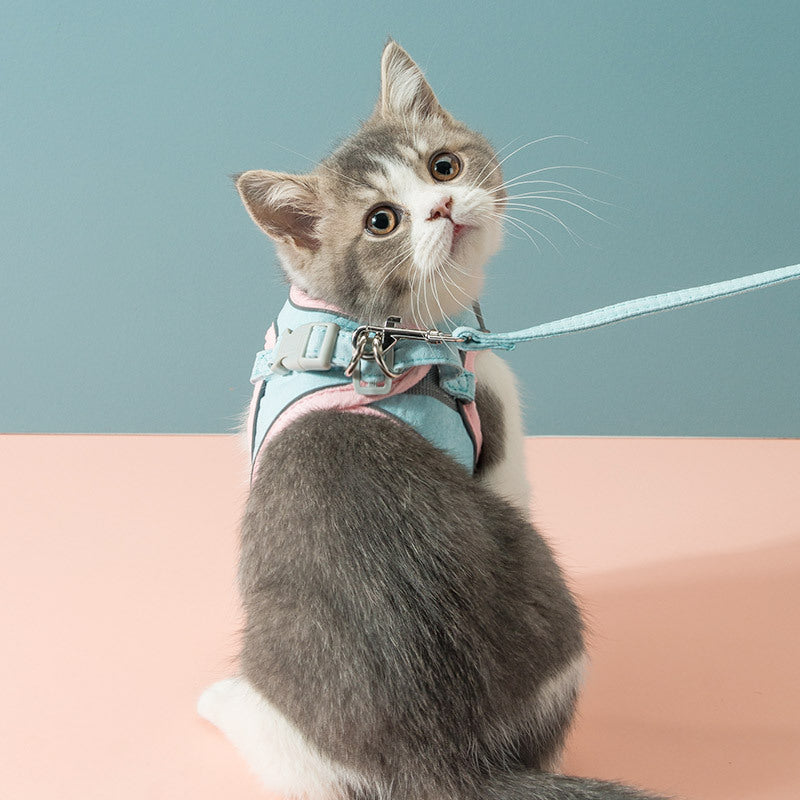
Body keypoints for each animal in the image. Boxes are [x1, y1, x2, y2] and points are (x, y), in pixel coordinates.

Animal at [200, 40, 668, 800]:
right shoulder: (499, 432)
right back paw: (223, 700)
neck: (378, 332)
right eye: (381, 220)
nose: (444, 206)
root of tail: (444, 764)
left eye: (442, 166)